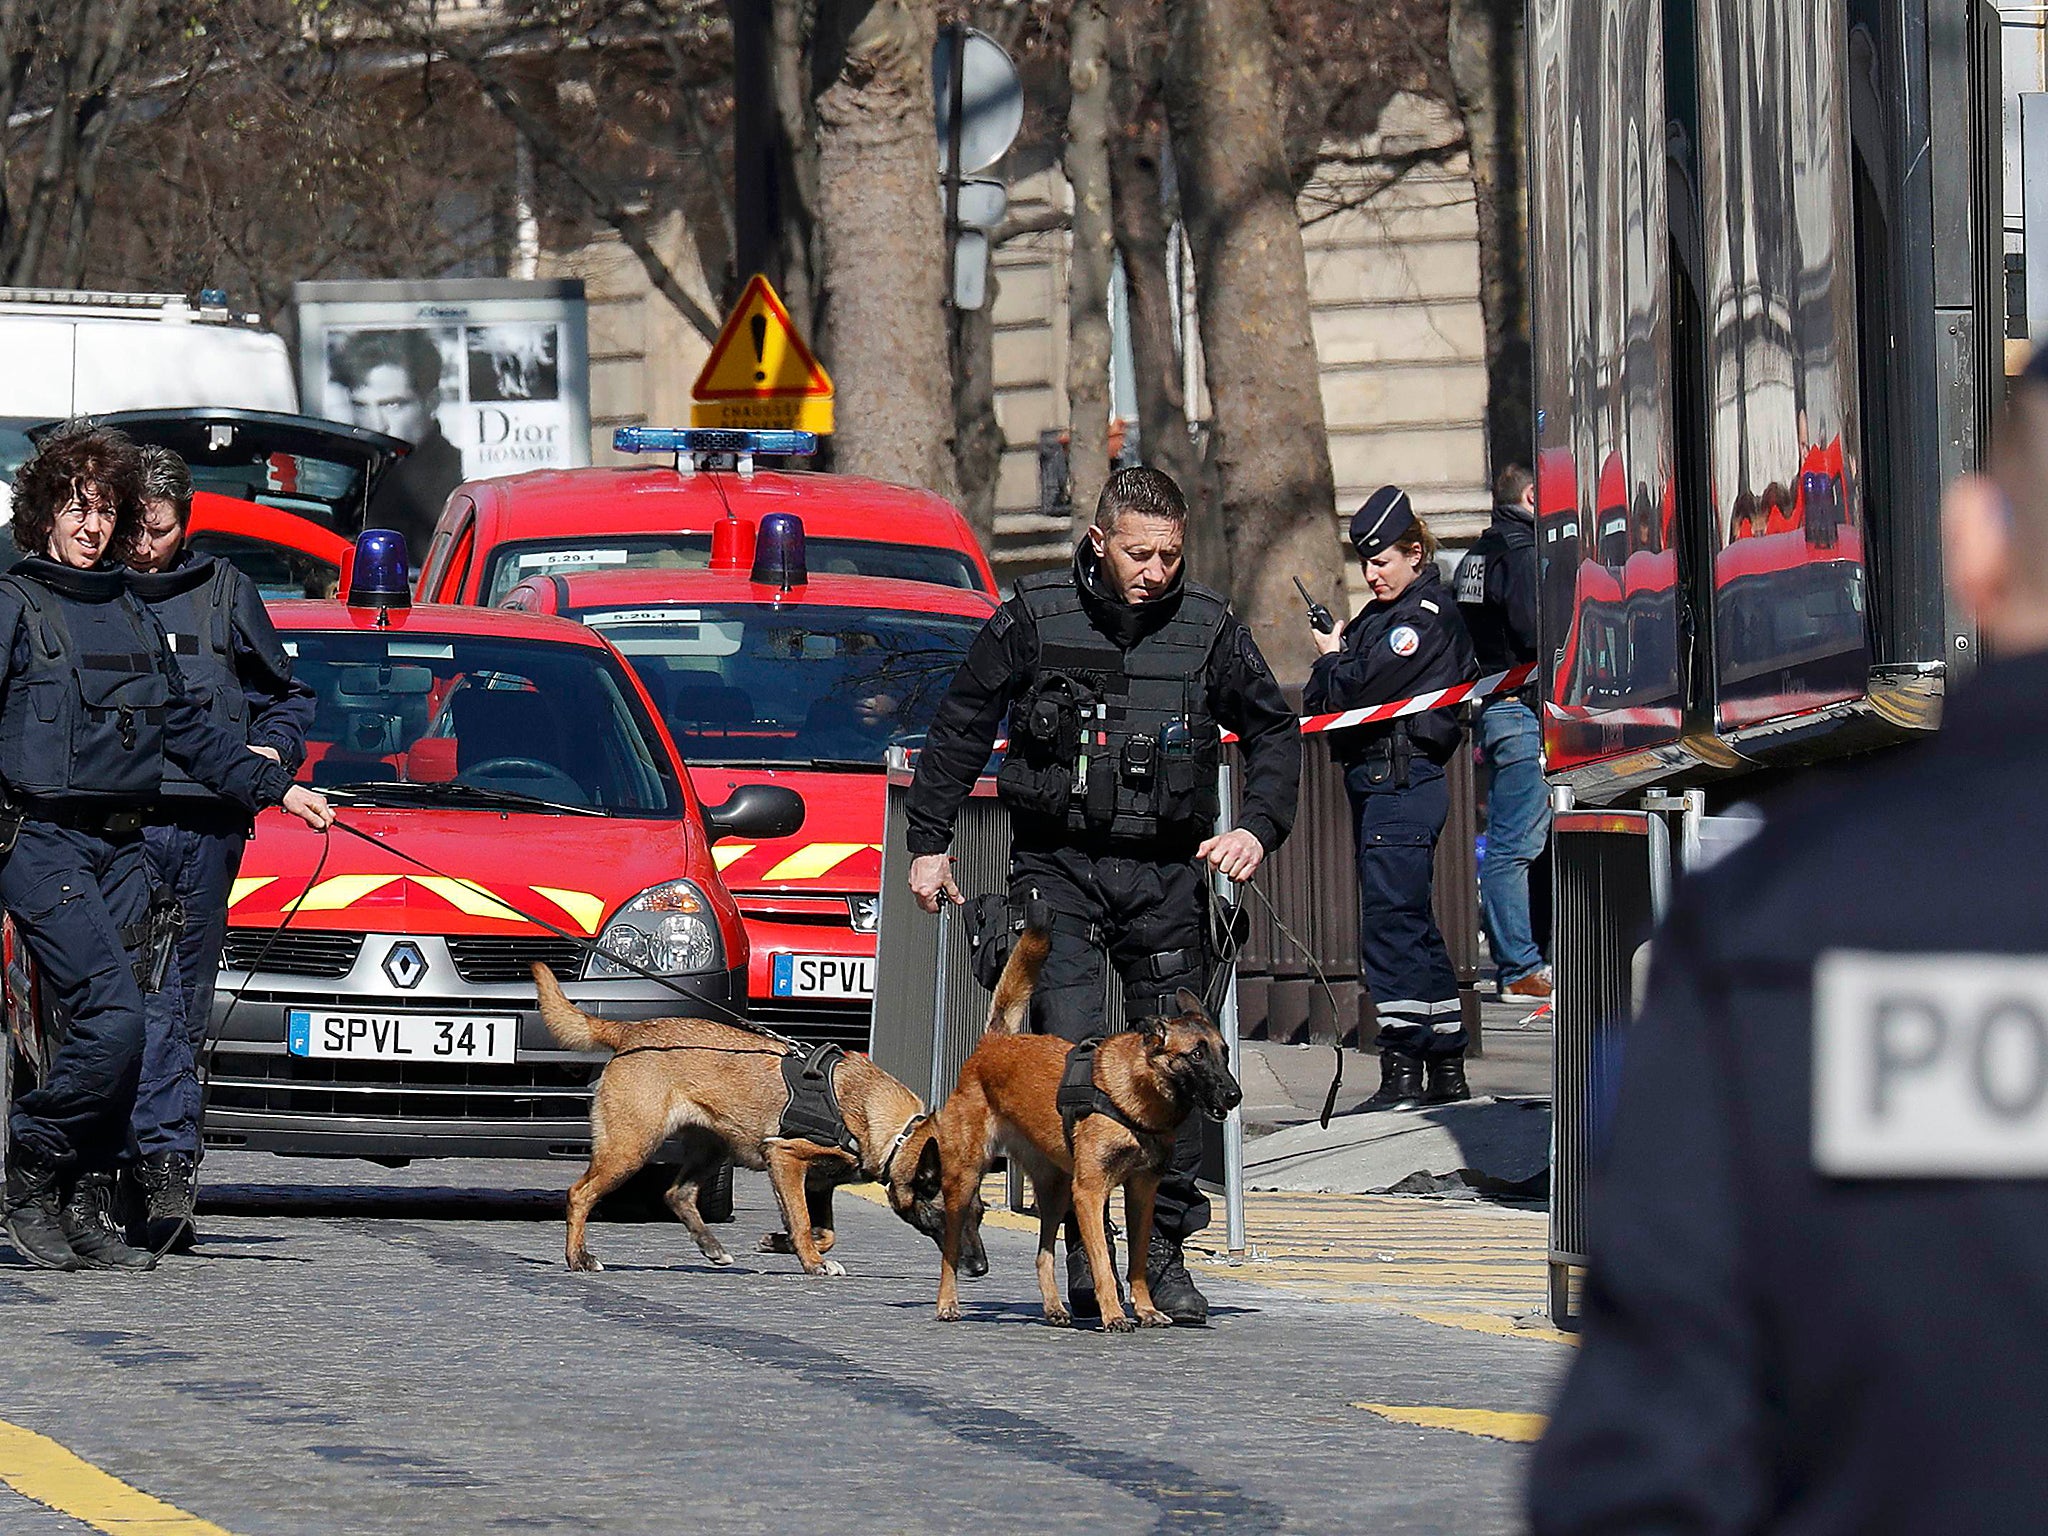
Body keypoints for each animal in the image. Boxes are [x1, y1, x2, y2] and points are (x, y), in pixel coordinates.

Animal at [532, 966, 925, 1277]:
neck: (893, 1130)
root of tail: (631, 1031)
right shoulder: (784, 1158)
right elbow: (801, 1221)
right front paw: (811, 1260)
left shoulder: (816, 1184)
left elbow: (824, 1232)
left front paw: (780, 1242)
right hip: (630, 1148)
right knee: (579, 1195)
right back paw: (579, 1258)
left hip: (713, 1147)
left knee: (677, 1194)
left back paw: (711, 1247)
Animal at [884, 933, 1245, 1327]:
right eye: (1196, 1055)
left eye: (1225, 1054)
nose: (1235, 1095)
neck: (1135, 1096)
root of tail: (994, 1043)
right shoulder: (1089, 1191)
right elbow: (1101, 1260)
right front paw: (1113, 1313)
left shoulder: (1142, 1192)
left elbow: (1136, 1259)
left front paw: (1146, 1309)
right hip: (965, 1183)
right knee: (950, 1250)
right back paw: (947, 1304)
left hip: (1055, 1192)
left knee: (1043, 1254)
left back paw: (1054, 1308)